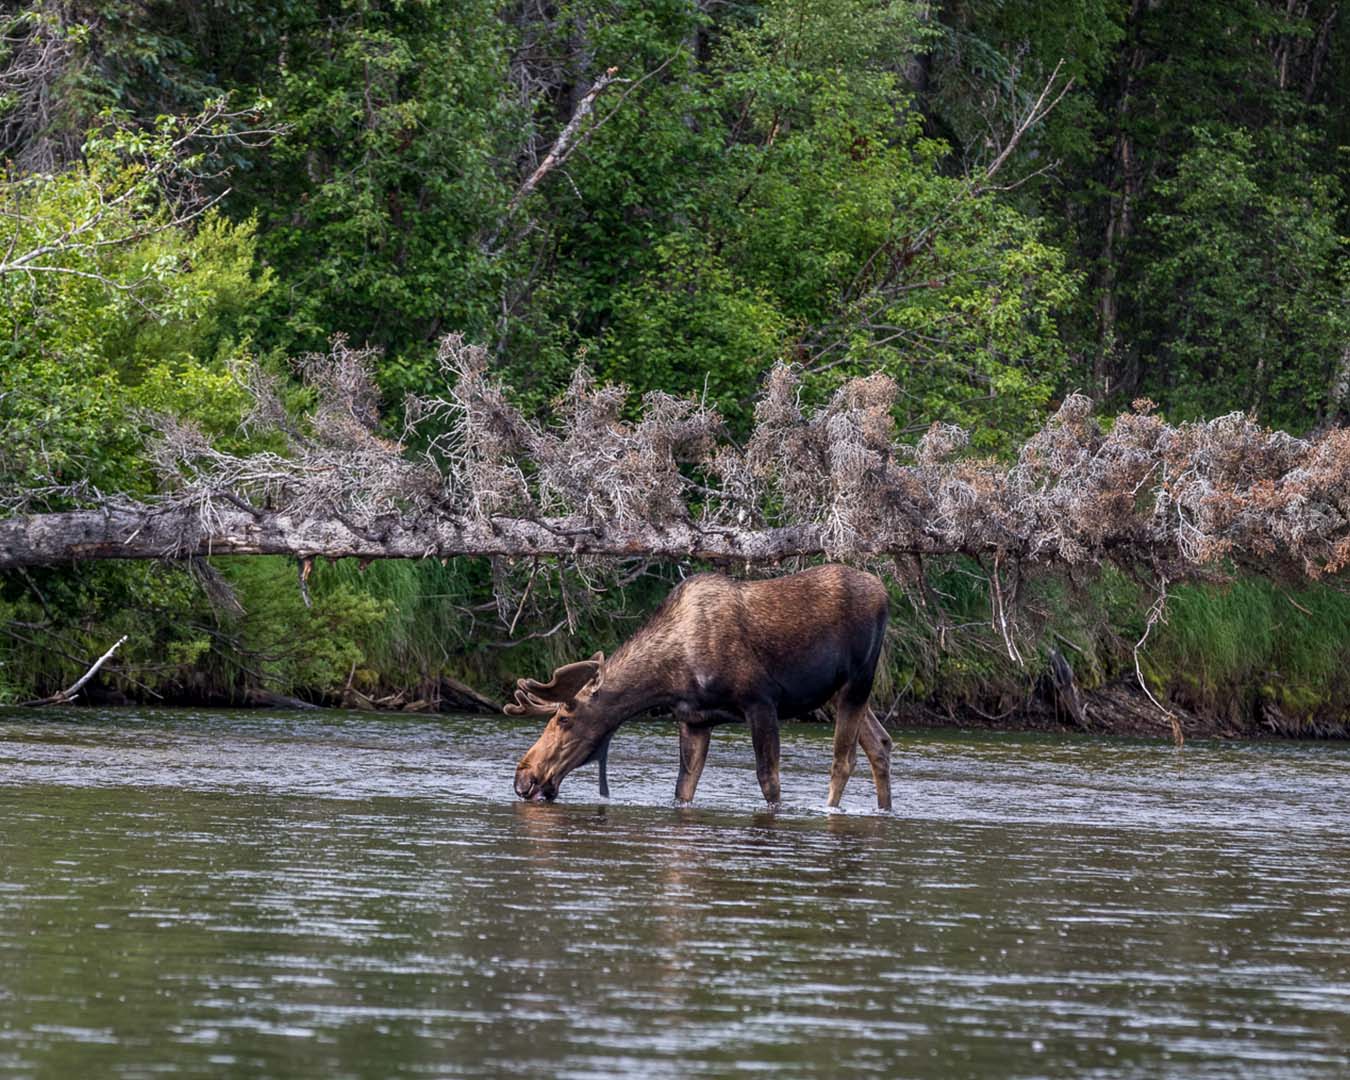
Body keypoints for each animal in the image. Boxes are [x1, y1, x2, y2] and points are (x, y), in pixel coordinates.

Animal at [507, 564, 893, 810]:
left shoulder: (761, 702)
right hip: (838, 692)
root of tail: (886, 592)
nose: (523, 778)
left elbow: (769, 783)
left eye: (564, 720)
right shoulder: (694, 720)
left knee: (843, 760)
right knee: (880, 743)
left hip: (859, 680)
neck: (668, 677)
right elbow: (682, 789)